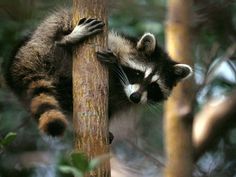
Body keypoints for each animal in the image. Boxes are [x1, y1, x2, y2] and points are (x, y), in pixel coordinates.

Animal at [3, 9, 192, 137]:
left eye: (153, 86)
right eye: (138, 74)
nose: (136, 98)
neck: (121, 88)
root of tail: (22, 60)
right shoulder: (115, 42)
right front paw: (114, 62)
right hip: (41, 40)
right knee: (60, 23)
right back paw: (66, 40)